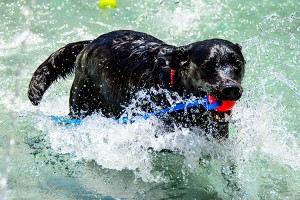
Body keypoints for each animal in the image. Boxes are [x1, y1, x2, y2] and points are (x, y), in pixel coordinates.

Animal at [28, 30, 245, 139]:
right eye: (208, 65)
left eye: (238, 64)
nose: (230, 88)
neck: (174, 89)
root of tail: (89, 43)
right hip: (82, 105)